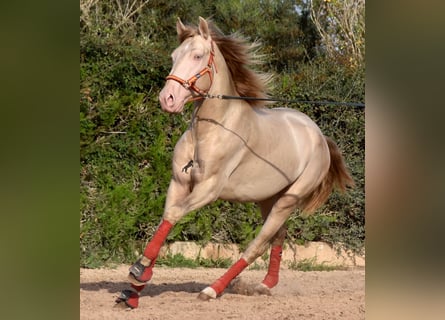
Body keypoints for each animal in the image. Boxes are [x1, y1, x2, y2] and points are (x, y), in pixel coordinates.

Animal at [115, 16, 354, 308]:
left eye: (197, 55)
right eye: (173, 56)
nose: (167, 99)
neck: (210, 130)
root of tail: (319, 135)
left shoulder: (208, 189)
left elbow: (173, 214)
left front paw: (139, 272)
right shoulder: (179, 183)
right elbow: (166, 218)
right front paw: (133, 290)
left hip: (288, 200)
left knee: (257, 245)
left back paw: (213, 289)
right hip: (269, 199)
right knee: (278, 237)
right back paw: (264, 285)